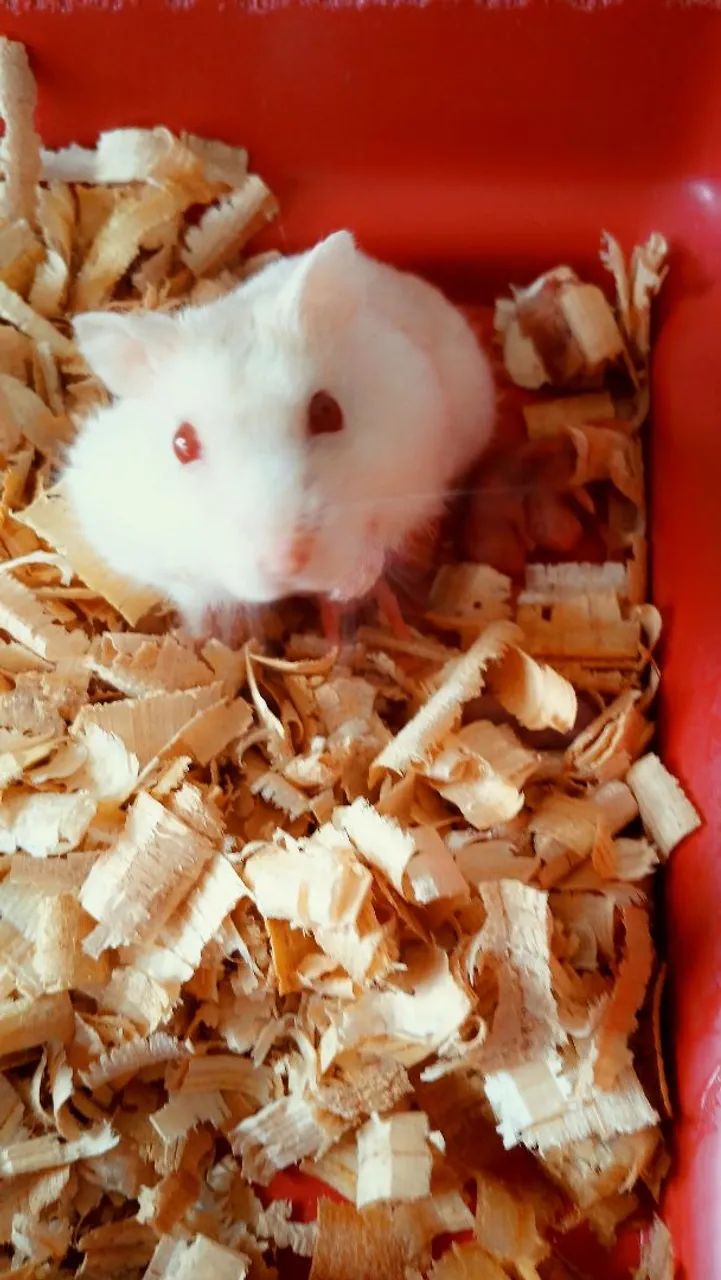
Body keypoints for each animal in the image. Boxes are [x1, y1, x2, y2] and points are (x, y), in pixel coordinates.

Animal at [64, 230, 495, 635]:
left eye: (327, 411)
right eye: (181, 444)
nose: (286, 562)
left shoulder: (417, 466)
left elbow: (382, 534)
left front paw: (349, 590)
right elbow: (196, 592)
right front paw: (217, 634)